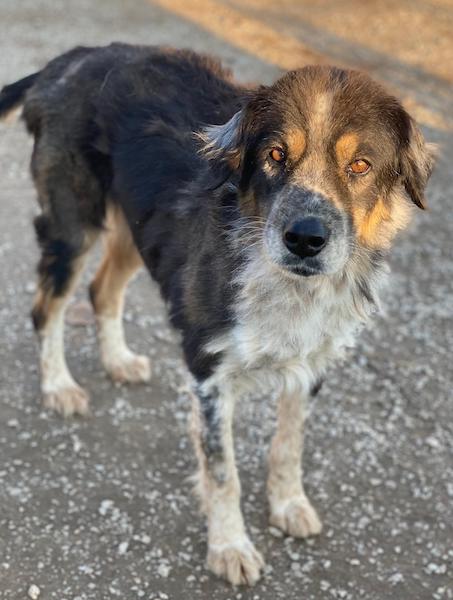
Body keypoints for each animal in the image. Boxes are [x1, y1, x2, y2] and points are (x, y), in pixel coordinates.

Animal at [0, 43, 434, 586]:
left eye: (360, 164)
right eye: (275, 155)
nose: (305, 239)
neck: (288, 285)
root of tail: (72, 57)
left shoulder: (312, 363)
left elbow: (288, 444)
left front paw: (288, 505)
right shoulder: (208, 368)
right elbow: (223, 470)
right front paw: (230, 546)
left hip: (138, 228)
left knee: (102, 291)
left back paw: (117, 360)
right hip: (73, 226)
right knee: (46, 308)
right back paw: (59, 385)